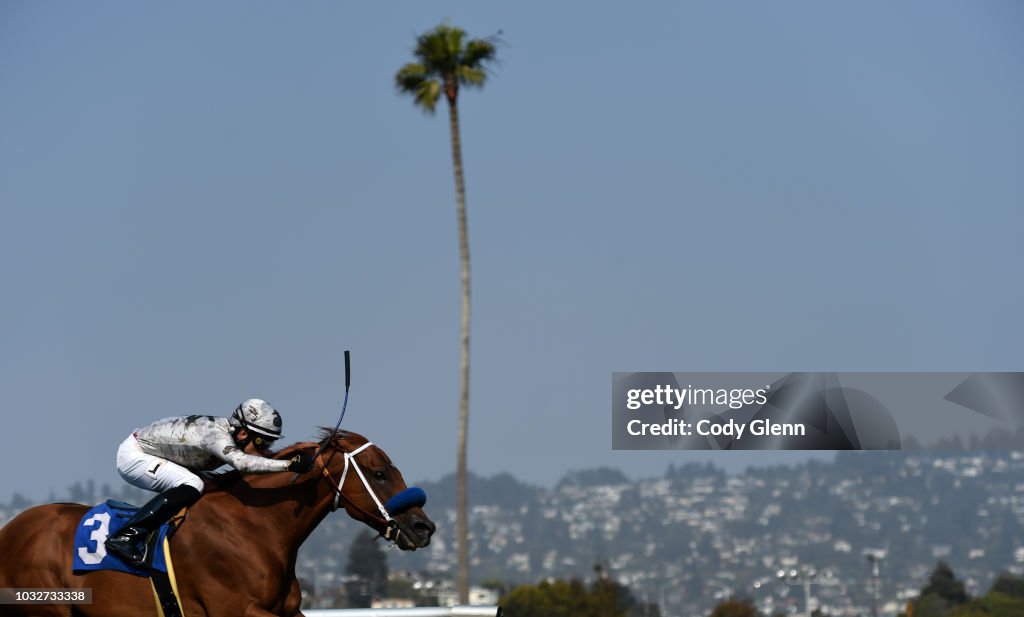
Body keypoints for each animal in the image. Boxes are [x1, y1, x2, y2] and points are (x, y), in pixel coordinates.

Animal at [0, 429, 436, 617]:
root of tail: (9, 531)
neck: (255, 527)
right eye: (379, 474)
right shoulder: (236, 611)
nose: (423, 528)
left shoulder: (289, 612)